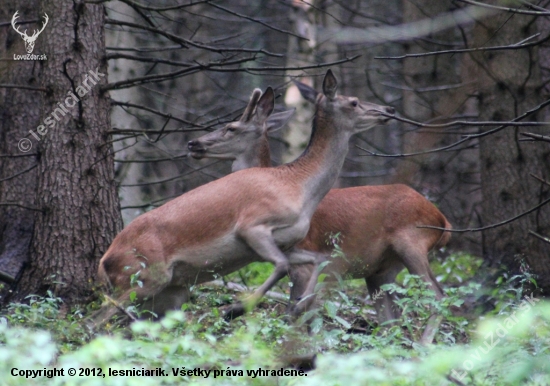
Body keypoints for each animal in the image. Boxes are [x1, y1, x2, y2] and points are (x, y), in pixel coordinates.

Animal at [90, 71, 394, 328]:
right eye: (354, 102)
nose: (388, 111)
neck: (298, 187)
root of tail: (103, 262)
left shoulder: (289, 242)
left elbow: (318, 260)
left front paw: (295, 307)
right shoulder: (252, 225)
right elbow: (282, 266)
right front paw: (235, 308)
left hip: (169, 290)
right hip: (144, 275)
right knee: (95, 320)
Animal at [190, 82, 452, 338]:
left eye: (231, 127)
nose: (194, 143)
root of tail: (443, 220)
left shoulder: (305, 258)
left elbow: (301, 314)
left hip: (412, 243)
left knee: (439, 297)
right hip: (381, 269)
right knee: (392, 322)